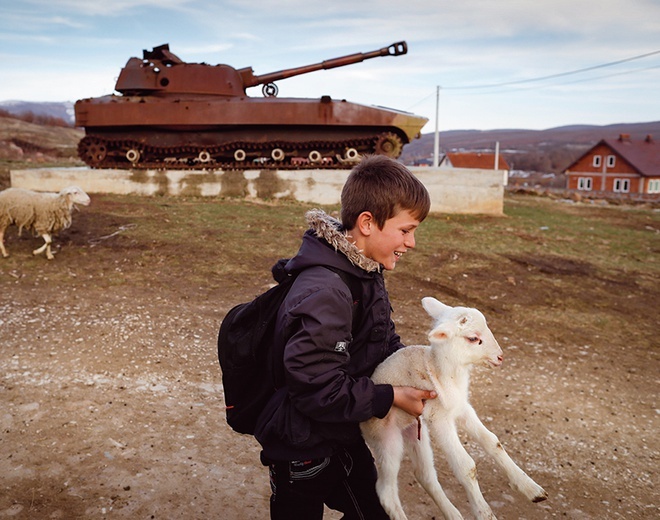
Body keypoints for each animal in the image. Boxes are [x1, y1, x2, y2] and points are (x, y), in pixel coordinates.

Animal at [360, 296, 548, 520]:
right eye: (473, 338)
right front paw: (484, 513)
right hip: (385, 437)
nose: (500, 357)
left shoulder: (461, 407)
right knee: (386, 491)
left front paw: (532, 489)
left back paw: (453, 514)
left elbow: (493, 442)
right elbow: (466, 466)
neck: (442, 371)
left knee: (425, 474)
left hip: (415, 430)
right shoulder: (438, 417)